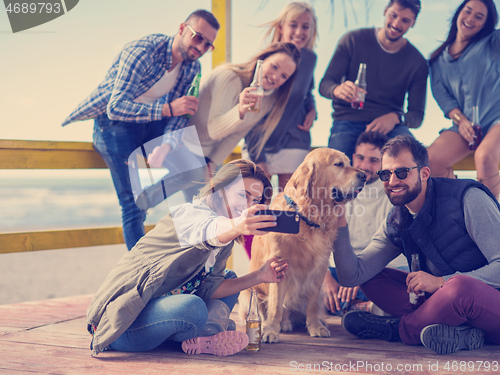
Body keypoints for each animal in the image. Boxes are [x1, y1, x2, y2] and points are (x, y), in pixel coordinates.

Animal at [240, 148, 366, 344]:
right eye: (338, 164)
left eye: (348, 162)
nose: (365, 175)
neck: (306, 218)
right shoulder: (278, 265)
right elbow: (276, 305)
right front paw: (271, 330)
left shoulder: (319, 269)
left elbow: (312, 305)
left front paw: (315, 326)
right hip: (247, 292)